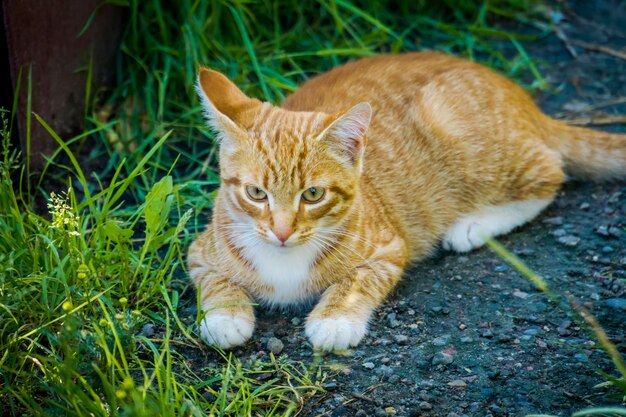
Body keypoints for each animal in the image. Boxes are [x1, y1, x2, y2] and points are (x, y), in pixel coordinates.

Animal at [189, 52, 624, 352]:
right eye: (255, 193)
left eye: (313, 194)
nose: (281, 232)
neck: (284, 259)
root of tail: (522, 100)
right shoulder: (199, 252)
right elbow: (215, 280)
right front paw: (225, 316)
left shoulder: (388, 248)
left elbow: (357, 280)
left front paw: (335, 319)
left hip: (462, 134)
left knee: (550, 173)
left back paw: (473, 225)